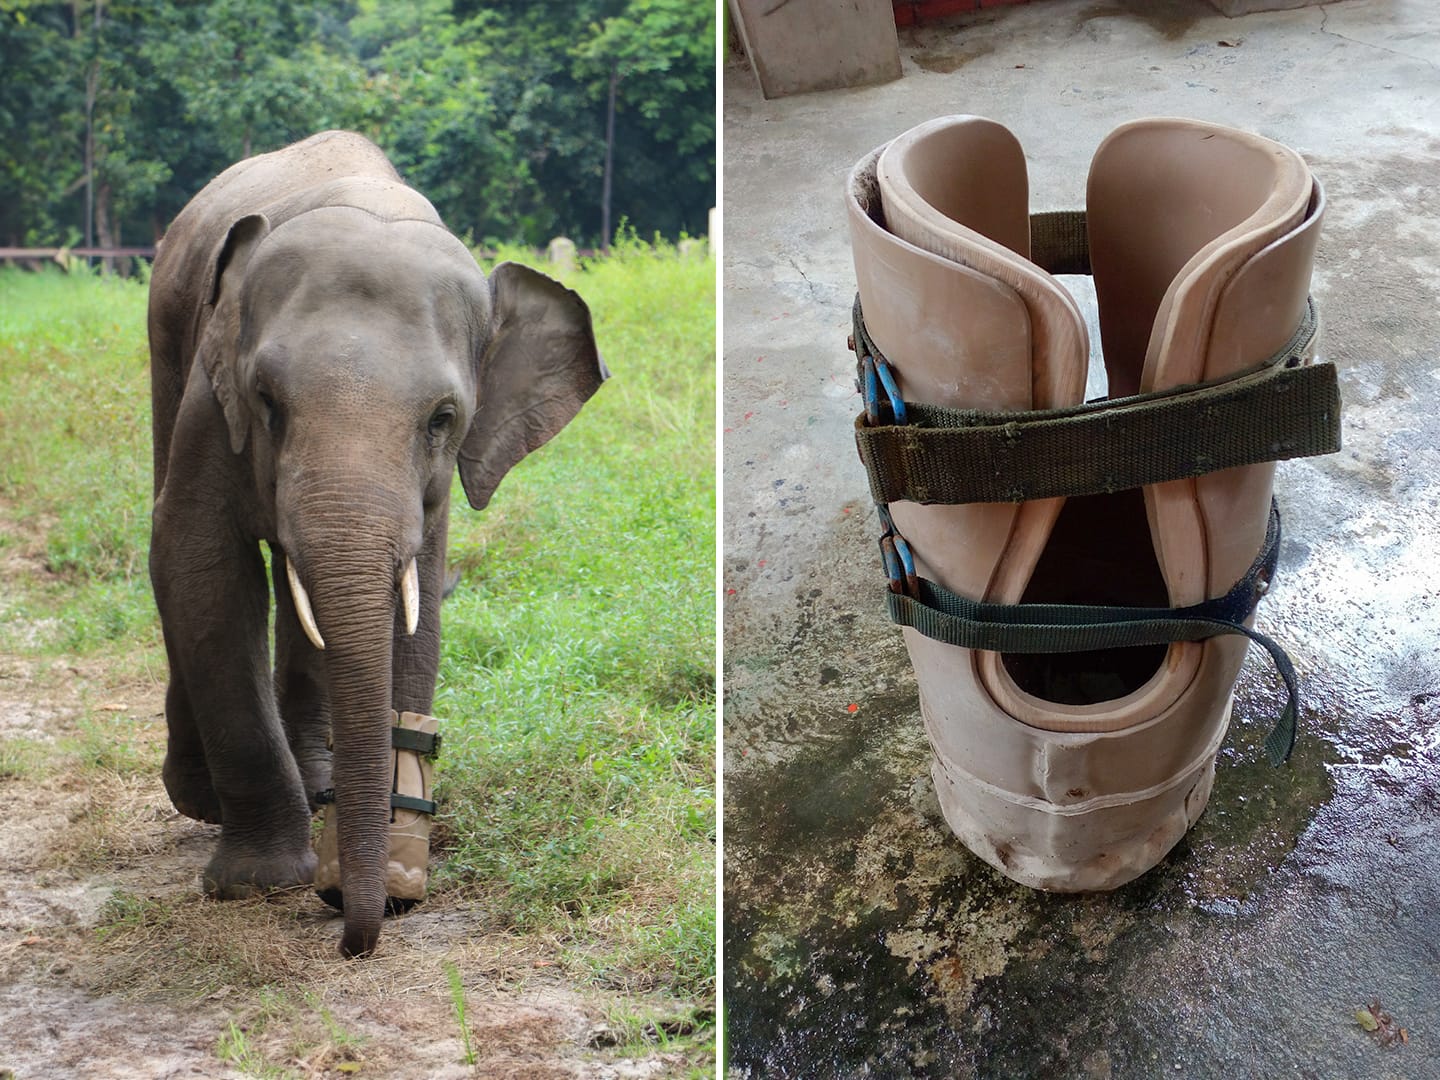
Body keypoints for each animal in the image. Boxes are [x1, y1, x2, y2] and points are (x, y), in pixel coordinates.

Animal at [147, 130, 606, 958]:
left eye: (442, 418)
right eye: (267, 402)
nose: (352, 937)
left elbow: (415, 601)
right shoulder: (212, 393)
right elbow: (197, 562)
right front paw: (261, 883)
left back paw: (319, 779)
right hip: (167, 342)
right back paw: (204, 800)